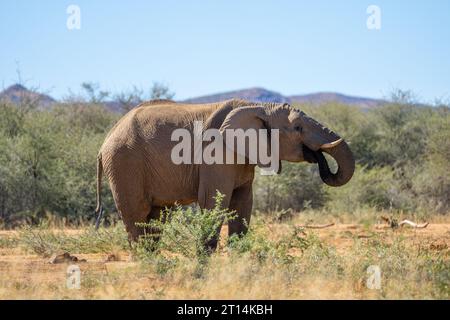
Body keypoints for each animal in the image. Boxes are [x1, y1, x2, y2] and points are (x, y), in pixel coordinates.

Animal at [96, 99, 356, 249]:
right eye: (298, 128)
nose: (318, 156)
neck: (257, 107)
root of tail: (104, 142)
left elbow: (243, 203)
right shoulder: (215, 153)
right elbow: (213, 201)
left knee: (156, 217)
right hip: (124, 162)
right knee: (137, 214)